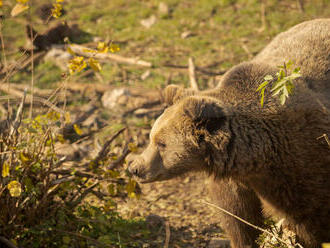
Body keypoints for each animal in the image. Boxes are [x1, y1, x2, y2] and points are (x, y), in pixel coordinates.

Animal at [127, 19, 330, 248]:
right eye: (151, 137)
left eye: (161, 143)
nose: (134, 168)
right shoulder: (235, 182)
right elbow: (238, 220)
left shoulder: (304, 166)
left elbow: (310, 219)